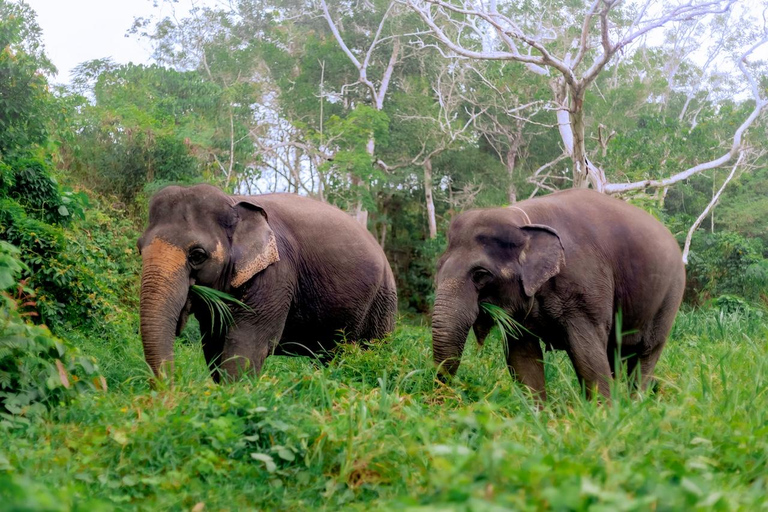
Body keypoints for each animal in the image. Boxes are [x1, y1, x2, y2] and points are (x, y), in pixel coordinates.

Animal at [428, 188, 688, 400]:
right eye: (437, 268)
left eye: (480, 274)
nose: (446, 395)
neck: (522, 220)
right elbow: (522, 358)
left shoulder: (585, 287)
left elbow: (587, 356)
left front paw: (602, 415)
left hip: (670, 295)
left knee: (645, 355)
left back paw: (635, 404)